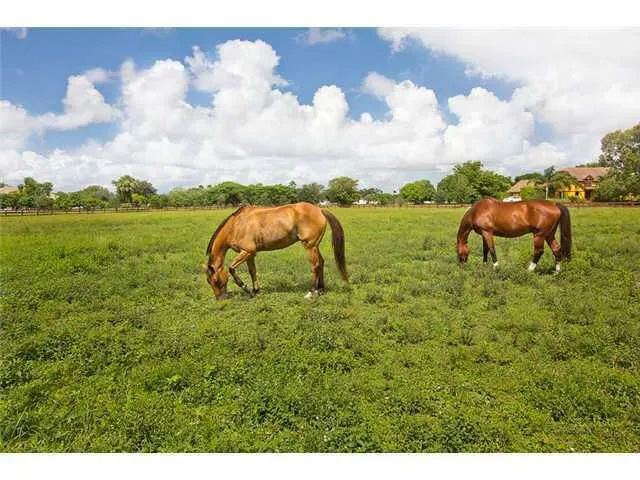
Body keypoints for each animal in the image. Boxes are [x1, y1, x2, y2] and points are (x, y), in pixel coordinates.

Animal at [204, 202, 348, 299]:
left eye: (216, 280)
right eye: (209, 282)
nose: (220, 298)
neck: (236, 225)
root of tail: (320, 210)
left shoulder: (247, 252)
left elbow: (231, 268)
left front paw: (246, 288)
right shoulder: (250, 254)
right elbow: (252, 271)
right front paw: (255, 291)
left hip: (309, 246)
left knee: (315, 265)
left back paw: (311, 292)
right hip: (315, 246)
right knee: (321, 263)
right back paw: (321, 290)